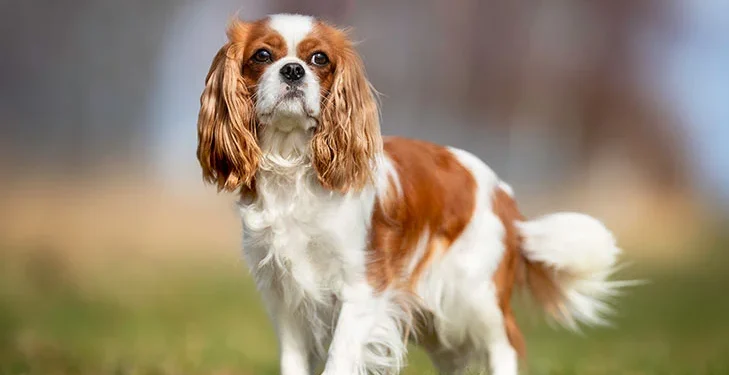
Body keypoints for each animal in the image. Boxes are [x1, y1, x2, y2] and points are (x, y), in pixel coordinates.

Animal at [196, 13, 628, 374]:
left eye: (319, 58)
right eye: (262, 55)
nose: (292, 70)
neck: (293, 167)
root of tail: (502, 192)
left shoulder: (362, 287)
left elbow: (338, 359)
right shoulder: (285, 298)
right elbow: (293, 362)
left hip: (474, 296)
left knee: (503, 346)